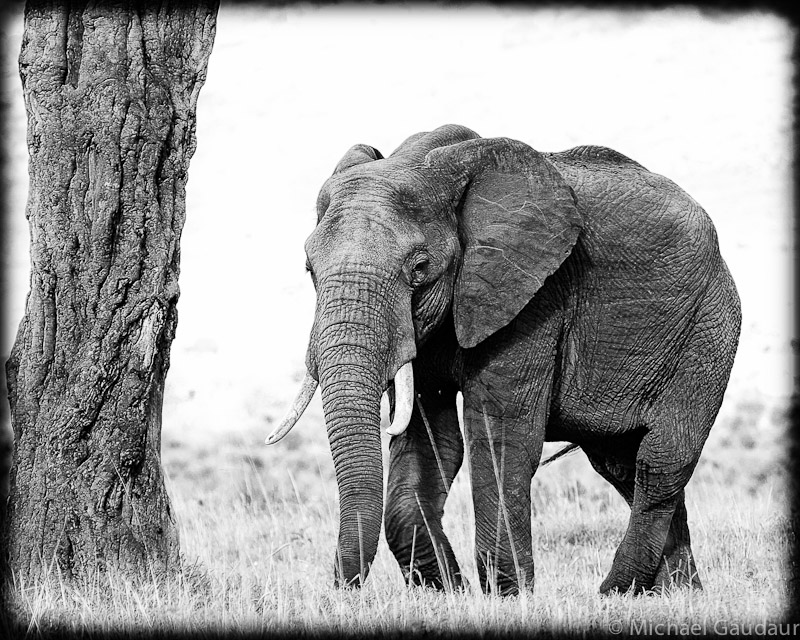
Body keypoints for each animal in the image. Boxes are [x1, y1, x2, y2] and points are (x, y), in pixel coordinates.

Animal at [266, 124, 740, 596]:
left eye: (419, 268)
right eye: (309, 268)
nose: (343, 588)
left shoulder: (533, 297)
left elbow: (500, 439)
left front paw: (509, 598)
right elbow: (432, 440)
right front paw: (446, 593)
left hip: (708, 328)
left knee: (660, 460)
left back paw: (616, 592)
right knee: (621, 466)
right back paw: (679, 594)